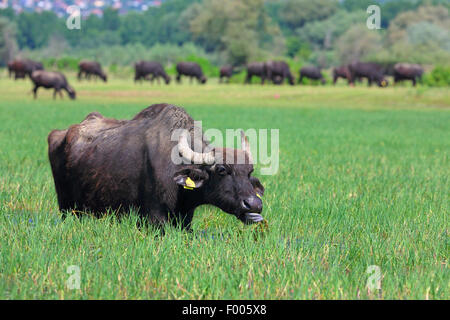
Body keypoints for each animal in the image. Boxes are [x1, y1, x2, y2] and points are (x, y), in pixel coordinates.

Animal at [47, 104, 266, 229]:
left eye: (249, 172)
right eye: (221, 170)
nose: (254, 204)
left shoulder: (185, 219)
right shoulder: (154, 218)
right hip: (67, 208)